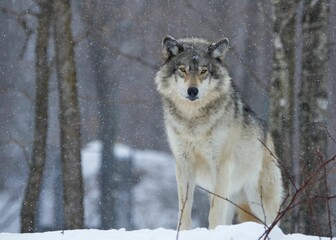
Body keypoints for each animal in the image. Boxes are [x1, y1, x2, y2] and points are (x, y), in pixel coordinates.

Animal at [155, 35, 284, 229]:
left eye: (204, 71)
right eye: (183, 70)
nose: (192, 90)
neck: (193, 120)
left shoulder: (220, 164)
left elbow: (214, 212)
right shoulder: (183, 164)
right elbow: (184, 211)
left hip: (258, 201)